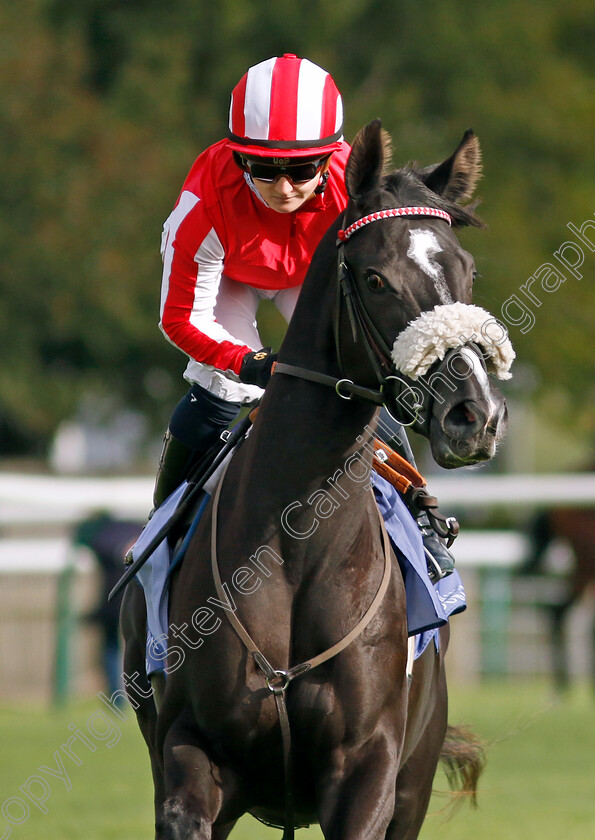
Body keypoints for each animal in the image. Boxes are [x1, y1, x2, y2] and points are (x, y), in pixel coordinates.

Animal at [122, 120, 512, 840]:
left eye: (467, 270)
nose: (473, 414)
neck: (295, 545)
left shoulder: (368, 771)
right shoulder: (189, 755)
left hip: (414, 779)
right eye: (376, 278)